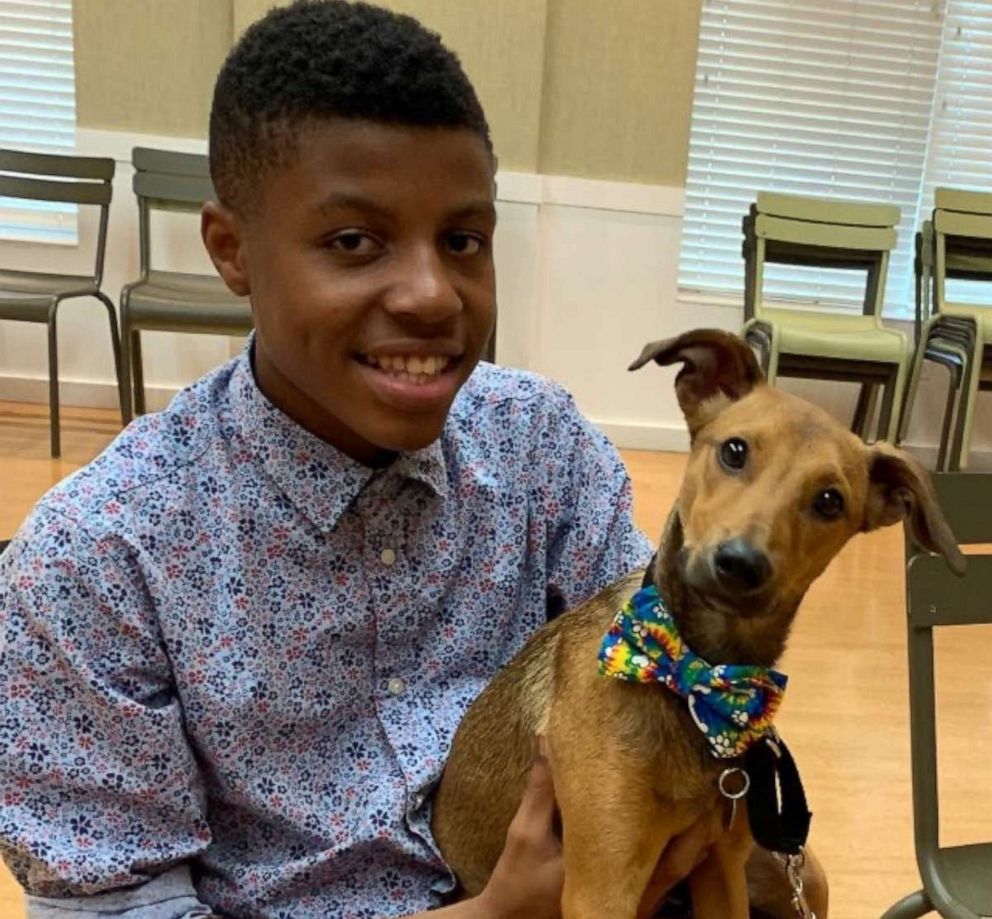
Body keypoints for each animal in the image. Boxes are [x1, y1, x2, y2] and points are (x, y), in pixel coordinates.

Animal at [432, 330, 960, 919]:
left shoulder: (721, 867)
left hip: (797, 871)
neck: (696, 677)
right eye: (734, 450)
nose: (741, 563)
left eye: (829, 501)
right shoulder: (602, 887)